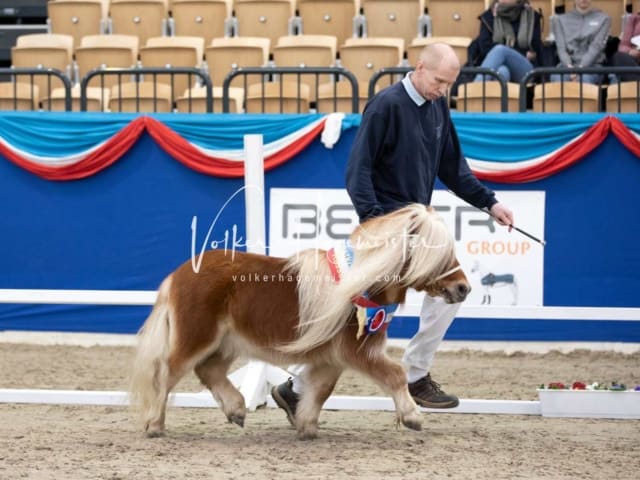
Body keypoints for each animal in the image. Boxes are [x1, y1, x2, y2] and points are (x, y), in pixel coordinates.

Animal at [129, 202, 470, 438]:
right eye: (439, 254)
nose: (463, 288)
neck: (361, 283)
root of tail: (179, 274)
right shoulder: (358, 351)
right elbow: (396, 375)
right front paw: (413, 417)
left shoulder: (331, 357)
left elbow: (320, 390)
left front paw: (306, 425)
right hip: (197, 338)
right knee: (167, 374)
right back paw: (154, 425)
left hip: (226, 342)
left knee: (208, 370)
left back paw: (236, 409)